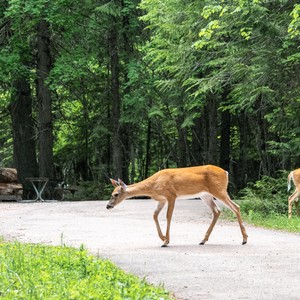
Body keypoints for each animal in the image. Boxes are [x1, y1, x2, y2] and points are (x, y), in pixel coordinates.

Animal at [106, 164, 247, 246]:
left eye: (116, 194)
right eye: (111, 193)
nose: (108, 206)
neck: (153, 185)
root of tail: (225, 172)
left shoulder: (171, 195)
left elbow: (168, 216)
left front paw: (166, 241)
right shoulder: (161, 200)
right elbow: (154, 215)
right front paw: (163, 238)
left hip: (219, 190)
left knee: (236, 207)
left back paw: (244, 239)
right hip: (205, 195)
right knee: (217, 211)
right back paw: (203, 240)